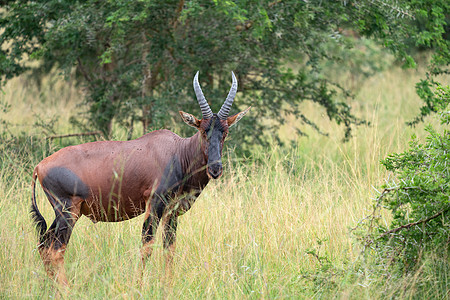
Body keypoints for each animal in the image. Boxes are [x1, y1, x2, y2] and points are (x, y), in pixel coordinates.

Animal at [30, 71, 250, 284]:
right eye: (203, 131)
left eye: (225, 132)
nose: (215, 169)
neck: (178, 152)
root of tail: (40, 166)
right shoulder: (154, 204)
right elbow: (147, 245)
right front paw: (138, 286)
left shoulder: (171, 212)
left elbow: (169, 249)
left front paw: (167, 286)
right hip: (68, 211)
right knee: (55, 250)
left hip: (62, 214)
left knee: (44, 246)